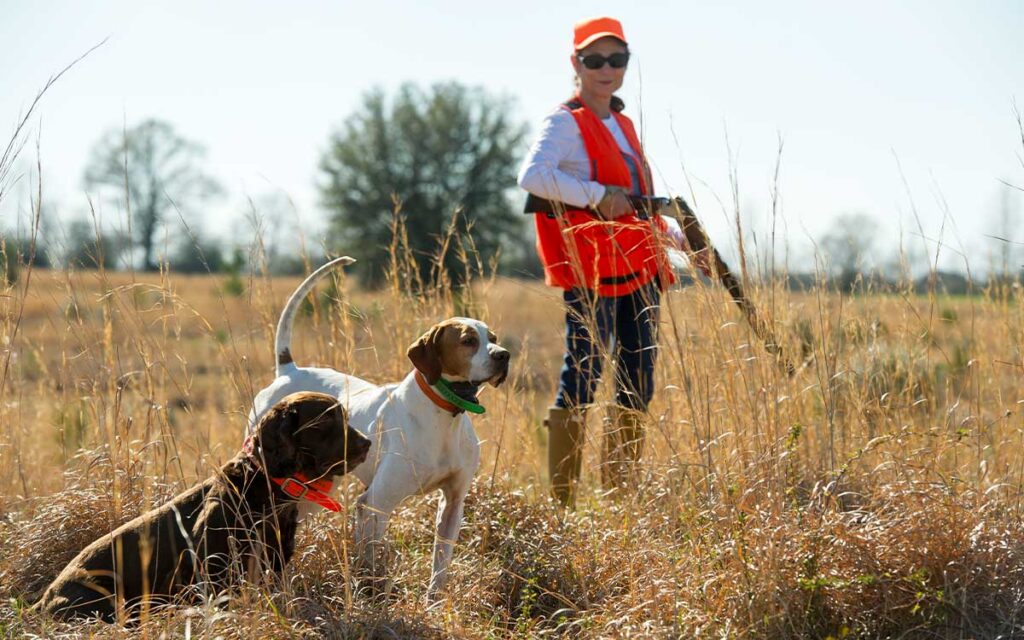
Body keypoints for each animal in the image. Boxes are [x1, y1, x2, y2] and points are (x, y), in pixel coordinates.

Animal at [248, 257, 512, 598]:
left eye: (493, 338)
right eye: (468, 341)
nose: (504, 355)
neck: (444, 414)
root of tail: (289, 370)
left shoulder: (453, 503)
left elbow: (440, 564)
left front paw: (433, 602)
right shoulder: (375, 503)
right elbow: (371, 561)